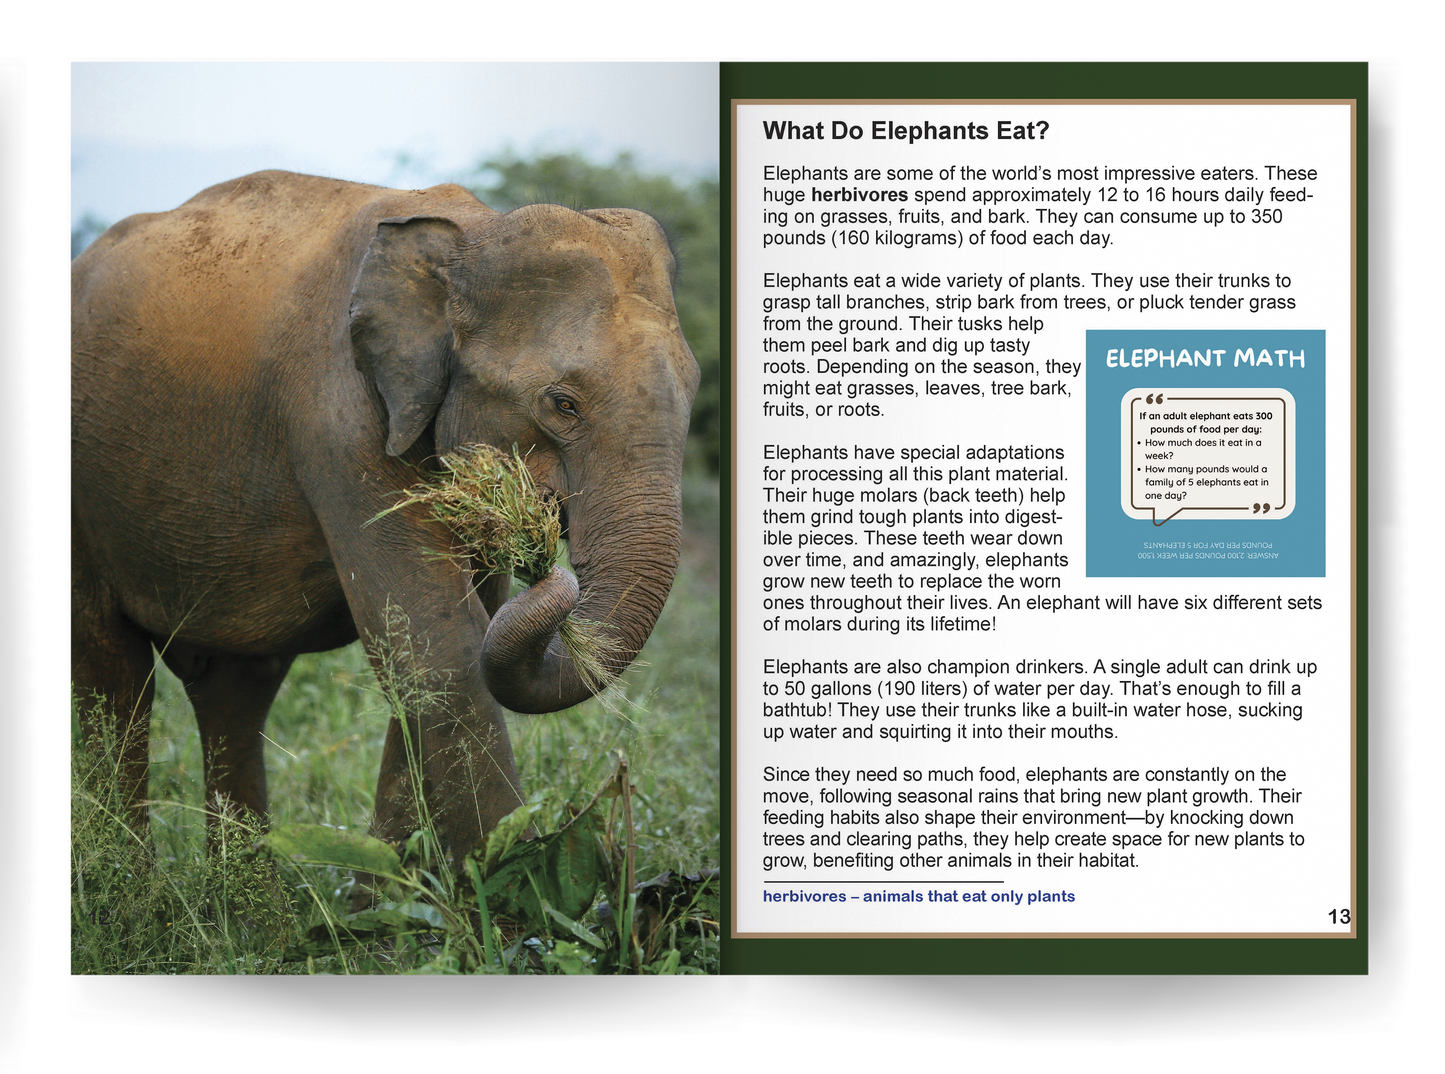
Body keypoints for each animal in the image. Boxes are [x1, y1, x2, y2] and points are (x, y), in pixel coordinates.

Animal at [70, 170, 700, 862]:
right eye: (563, 404)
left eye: (695, 389)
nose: (548, 571)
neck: (468, 236)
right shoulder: (340, 417)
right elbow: (437, 646)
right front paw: (508, 881)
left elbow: (453, 637)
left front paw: (394, 886)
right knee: (112, 676)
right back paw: (129, 883)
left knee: (234, 686)